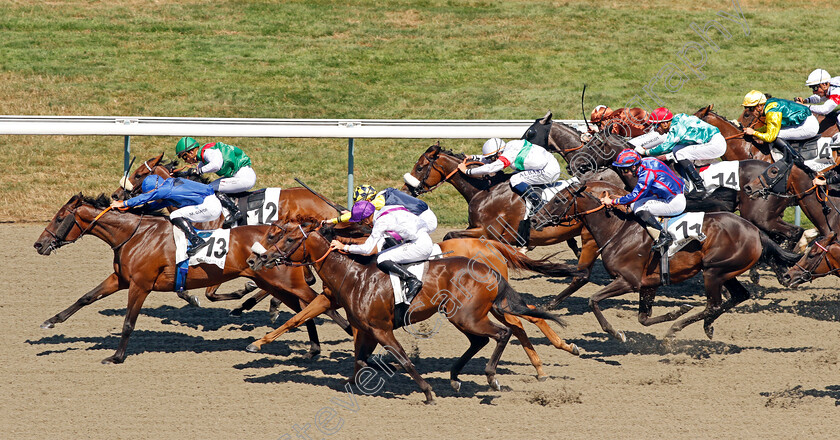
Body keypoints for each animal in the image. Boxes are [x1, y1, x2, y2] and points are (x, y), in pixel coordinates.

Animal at [32, 194, 342, 362]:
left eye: (59, 218)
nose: (38, 244)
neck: (135, 235)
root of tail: (292, 234)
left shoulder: (140, 285)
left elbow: (129, 323)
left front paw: (117, 357)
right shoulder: (121, 278)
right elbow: (86, 297)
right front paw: (51, 321)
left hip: (287, 282)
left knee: (317, 303)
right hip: (275, 283)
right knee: (303, 310)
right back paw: (312, 348)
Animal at [246, 219, 568, 402]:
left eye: (286, 238)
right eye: (275, 235)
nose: (257, 259)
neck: (353, 274)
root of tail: (489, 259)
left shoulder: (381, 328)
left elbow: (402, 360)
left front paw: (427, 392)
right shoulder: (364, 328)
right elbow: (357, 358)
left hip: (468, 316)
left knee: (504, 331)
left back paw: (496, 376)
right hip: (464, 316)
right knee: (487, 337)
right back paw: (456, 377)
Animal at [532, 181, 800, 344]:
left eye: (558, 200)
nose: (534, 219)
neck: (617, 231)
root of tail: (755, 230)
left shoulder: (628, 281)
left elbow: (593, 300)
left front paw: (617, 334)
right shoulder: (648, 284)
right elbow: (643, 318)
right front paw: (675, 311)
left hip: (713, 271)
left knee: (714, 304)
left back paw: (680, 329)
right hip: (726, 271)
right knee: (737, 297)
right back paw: (703, 325)